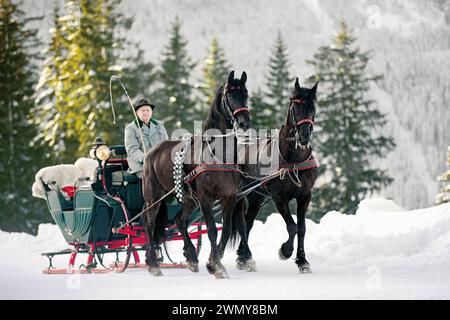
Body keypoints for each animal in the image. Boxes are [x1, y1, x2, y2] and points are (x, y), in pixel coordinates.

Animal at [142, 70, 251, 278]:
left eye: (246, 95)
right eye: (230, 95)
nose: (244, 123)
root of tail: (152, 151)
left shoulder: (230, 196)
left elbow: (226, 230)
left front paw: (213, 262)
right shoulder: (205, 197)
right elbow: (212, 231)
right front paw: (216, 266)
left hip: (189, 199)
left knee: (180, 221)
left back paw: (191, 257)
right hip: (154, 196)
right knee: (149, 223)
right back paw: (152, 263)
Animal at [234, 78, 318, 272]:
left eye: (312, 108)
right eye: (295, 106)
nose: (303, 137)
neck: (293, 160)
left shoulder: (305, 195)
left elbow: (301, 228)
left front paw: (302, 261)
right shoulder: (279, 197)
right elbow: (292, 227)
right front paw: (285, 251)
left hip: (256, 197)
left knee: (248, 223)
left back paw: (243, 257)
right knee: (241, 223)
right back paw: (244, 256)